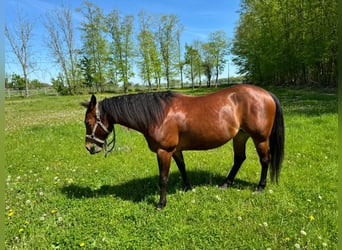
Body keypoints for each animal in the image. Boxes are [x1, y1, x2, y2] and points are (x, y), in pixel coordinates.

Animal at [81, 84, 284, 209]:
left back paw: (260, 187)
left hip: (260, 138)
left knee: (265, 160)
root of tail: (266, 94)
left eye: (88, 122)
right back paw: (226, 184)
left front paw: (161, 204)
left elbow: (163, 179)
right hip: (240, 136)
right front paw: (188, 187)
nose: (89, 147)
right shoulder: (176, 150)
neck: (158, 115)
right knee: (239, 158)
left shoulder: (164, 152)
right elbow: (182, 167)